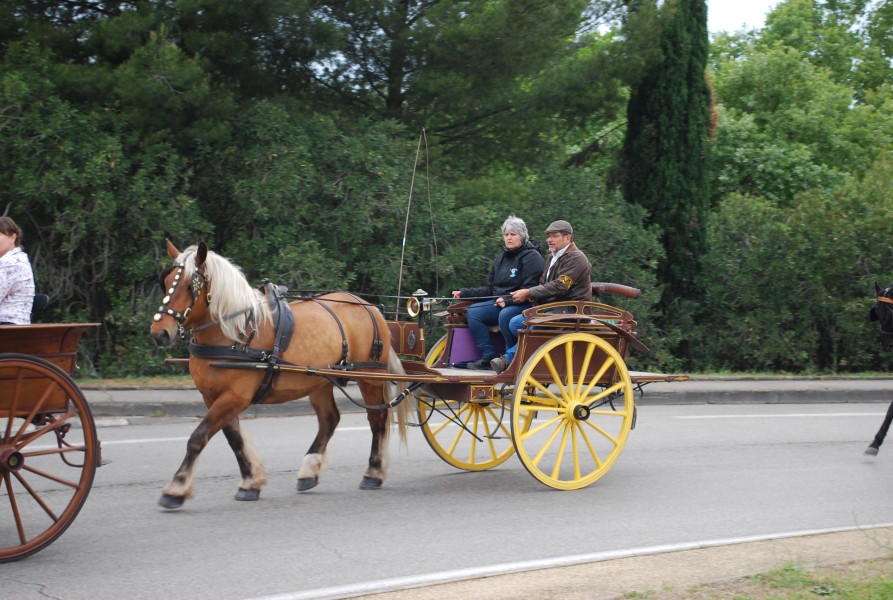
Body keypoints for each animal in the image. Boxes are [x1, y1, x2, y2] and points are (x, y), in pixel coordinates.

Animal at [149, 239, 408, 506]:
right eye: (166, 282)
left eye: (190, 285)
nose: (160, 333)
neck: (235, 333)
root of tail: (369, 307)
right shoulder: (213, 397)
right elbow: (234, 438)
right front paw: (250, 482)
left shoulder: (235, 397)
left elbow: (198, 437)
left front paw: (176, 488)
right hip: (319, 381)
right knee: (329, 420)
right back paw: (309, 471)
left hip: (369, 377)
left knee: (376, 420)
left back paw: (373, 472)